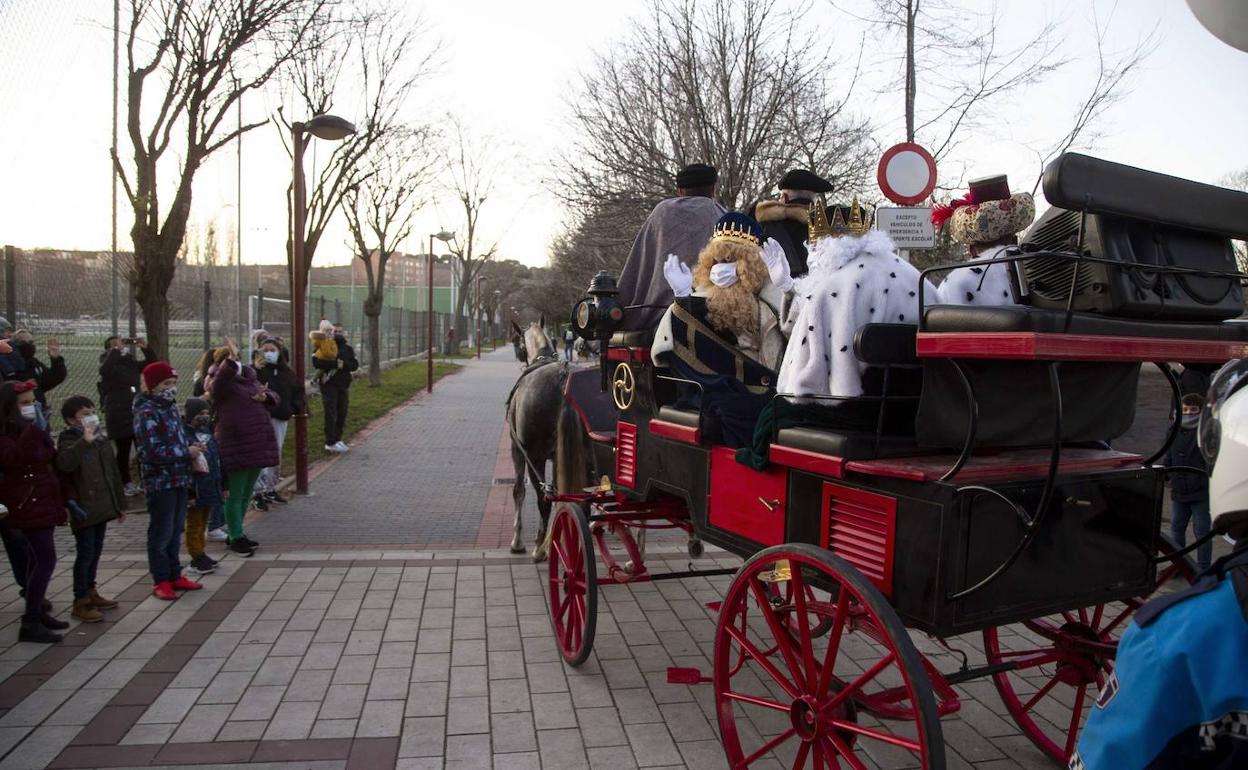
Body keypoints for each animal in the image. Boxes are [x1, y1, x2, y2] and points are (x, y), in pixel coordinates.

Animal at [504, 318, 586, 559]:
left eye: (517, 339)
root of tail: (563, 379)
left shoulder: (517, 449)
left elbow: (518, 491)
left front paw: (517, 542)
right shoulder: (559, 456)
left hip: (535, 455)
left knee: (543, 497)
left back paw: (539, 548)